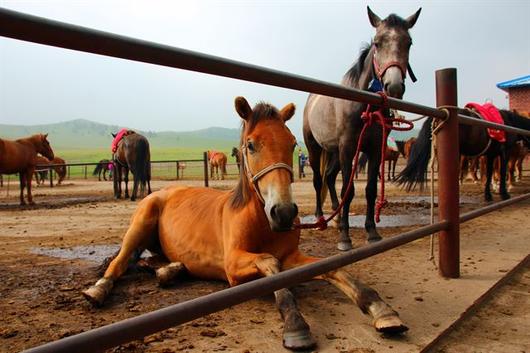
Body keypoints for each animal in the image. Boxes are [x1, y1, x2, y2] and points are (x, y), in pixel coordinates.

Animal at [83, 96, 404, 350]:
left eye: (292, 144)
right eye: (250, 145)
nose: (283, 212)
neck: (259, 221)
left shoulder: (292, 257)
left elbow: (333, 267)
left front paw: (381, 309)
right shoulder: (234, 266)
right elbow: (271, 265)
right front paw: (296, 326)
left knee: (151, 261)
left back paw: (170, 271)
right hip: (140, 224)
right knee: (120, 262)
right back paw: (98, 290)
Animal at [302, 7, 420, 250]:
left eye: (409, 42)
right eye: (377, 42)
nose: (394, 86)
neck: (363, 104)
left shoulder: (373, 149)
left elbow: (370, 190)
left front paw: (372, 231)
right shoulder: (348, 148)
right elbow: (349, 191)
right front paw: (345, 238)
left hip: (334, 152)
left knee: (329, 177)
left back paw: (337, 218)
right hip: (315, 147)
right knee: (318, 180)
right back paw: (320, 218)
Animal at [396, 107, 528, 201]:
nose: (525, 148)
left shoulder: (491, 155)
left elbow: (489, 172)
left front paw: (488, 195)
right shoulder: (504, 152)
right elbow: (502, 170)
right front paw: (504, 194)